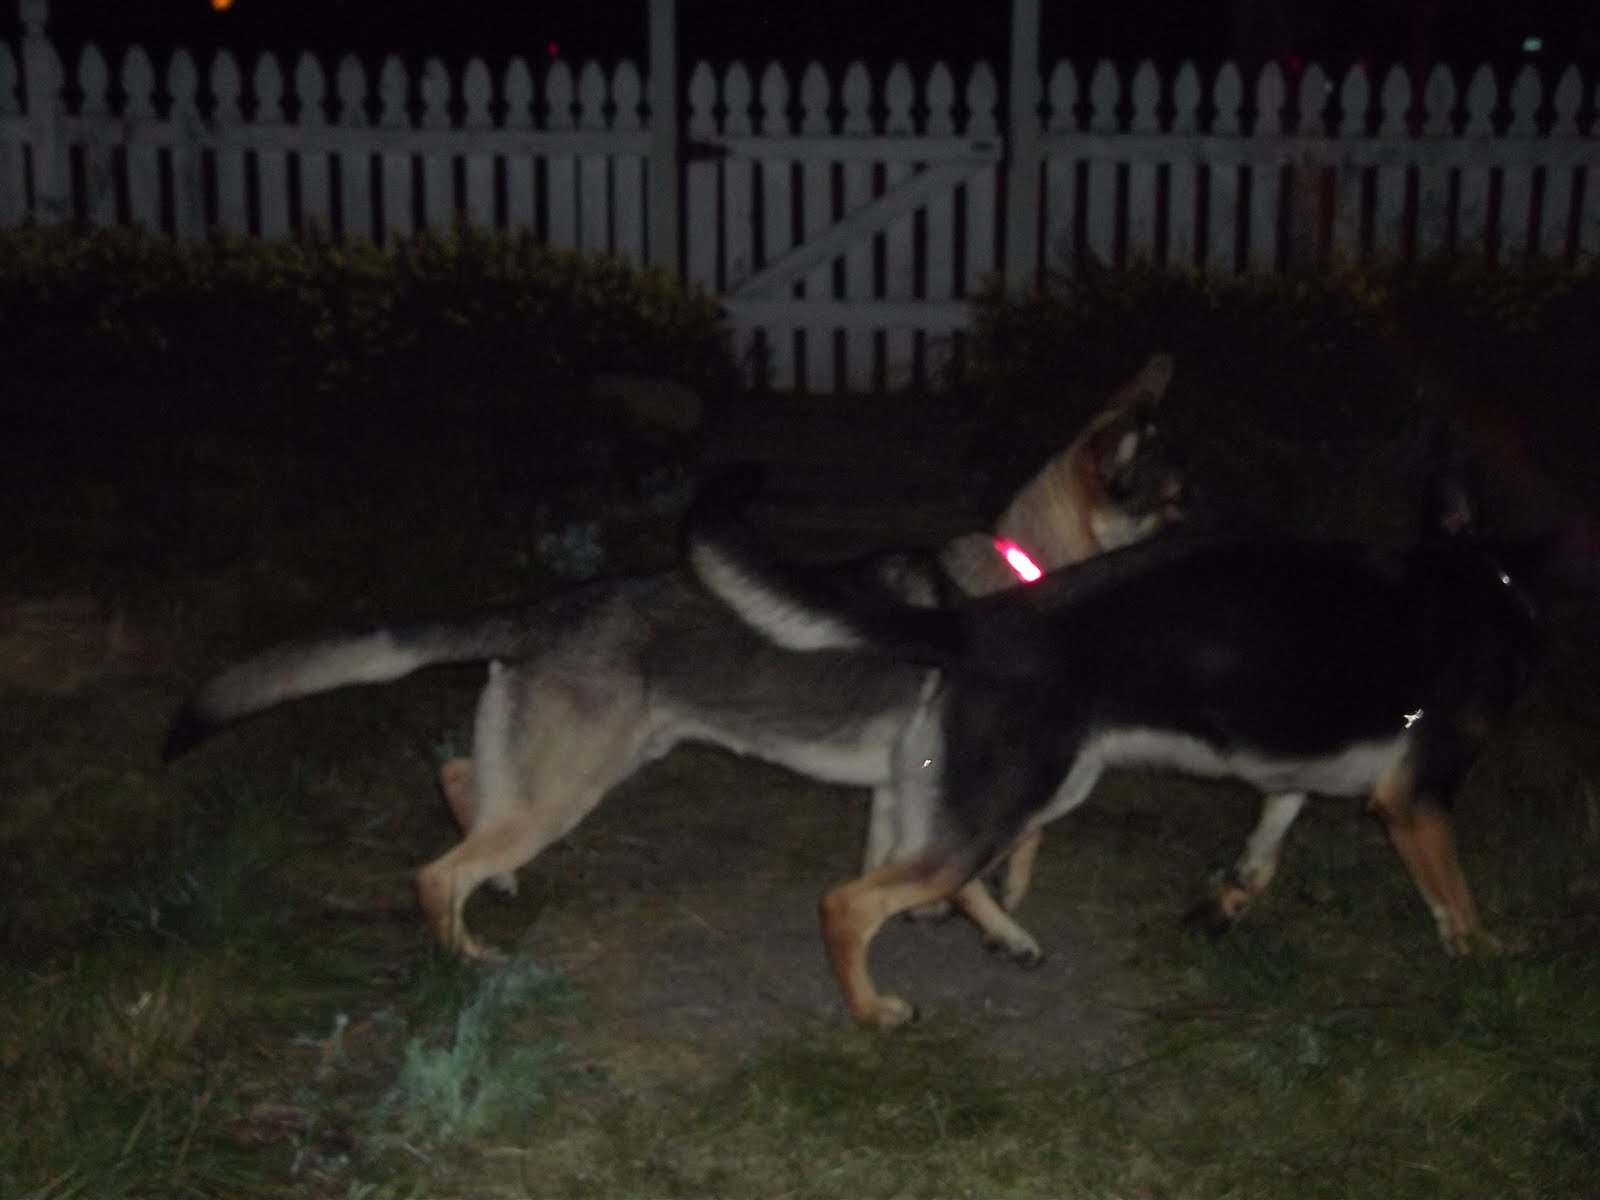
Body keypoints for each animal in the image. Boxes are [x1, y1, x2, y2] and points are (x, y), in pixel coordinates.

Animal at [164, 354, 1186, 962]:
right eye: (1178, 505)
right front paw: (994, 927)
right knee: (435, 872)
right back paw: (471, 956)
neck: (1024, 567)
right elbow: (972, 861)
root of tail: (543, 608)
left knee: (461, 784)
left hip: (572, 765)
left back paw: (493, 881)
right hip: (569, 785)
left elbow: (921, 866)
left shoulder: (903, 789)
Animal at [683, 469, 1545, 1028]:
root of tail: (974, 621)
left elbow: (1261, 856)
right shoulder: (1417, 801)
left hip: (1031, 790)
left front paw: (1224, 907)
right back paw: (871, 1010)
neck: (1474, 579)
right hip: (1010, 796)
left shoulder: (1290, 773)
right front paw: (1488, 961)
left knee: (948, 879)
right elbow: (1457, 900)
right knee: (848, 904)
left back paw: (1007, 938)